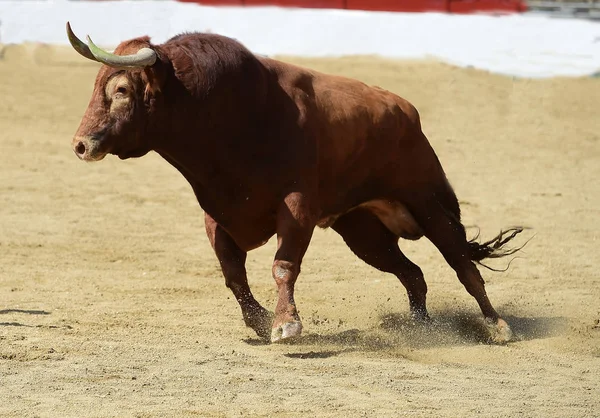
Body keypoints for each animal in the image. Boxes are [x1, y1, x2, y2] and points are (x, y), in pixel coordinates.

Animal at [67, 21, 524, 344]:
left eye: (121, 89)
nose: (81, 145)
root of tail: (406, 112)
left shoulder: (297, 207)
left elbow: (283, 265)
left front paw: (286, 324)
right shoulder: (217, 214)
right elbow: (233, 274)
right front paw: (261, 320)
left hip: (429, 204)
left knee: (462, 264)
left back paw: (497, 326)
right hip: (363, 231)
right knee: (413, 274)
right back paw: (421, 328)